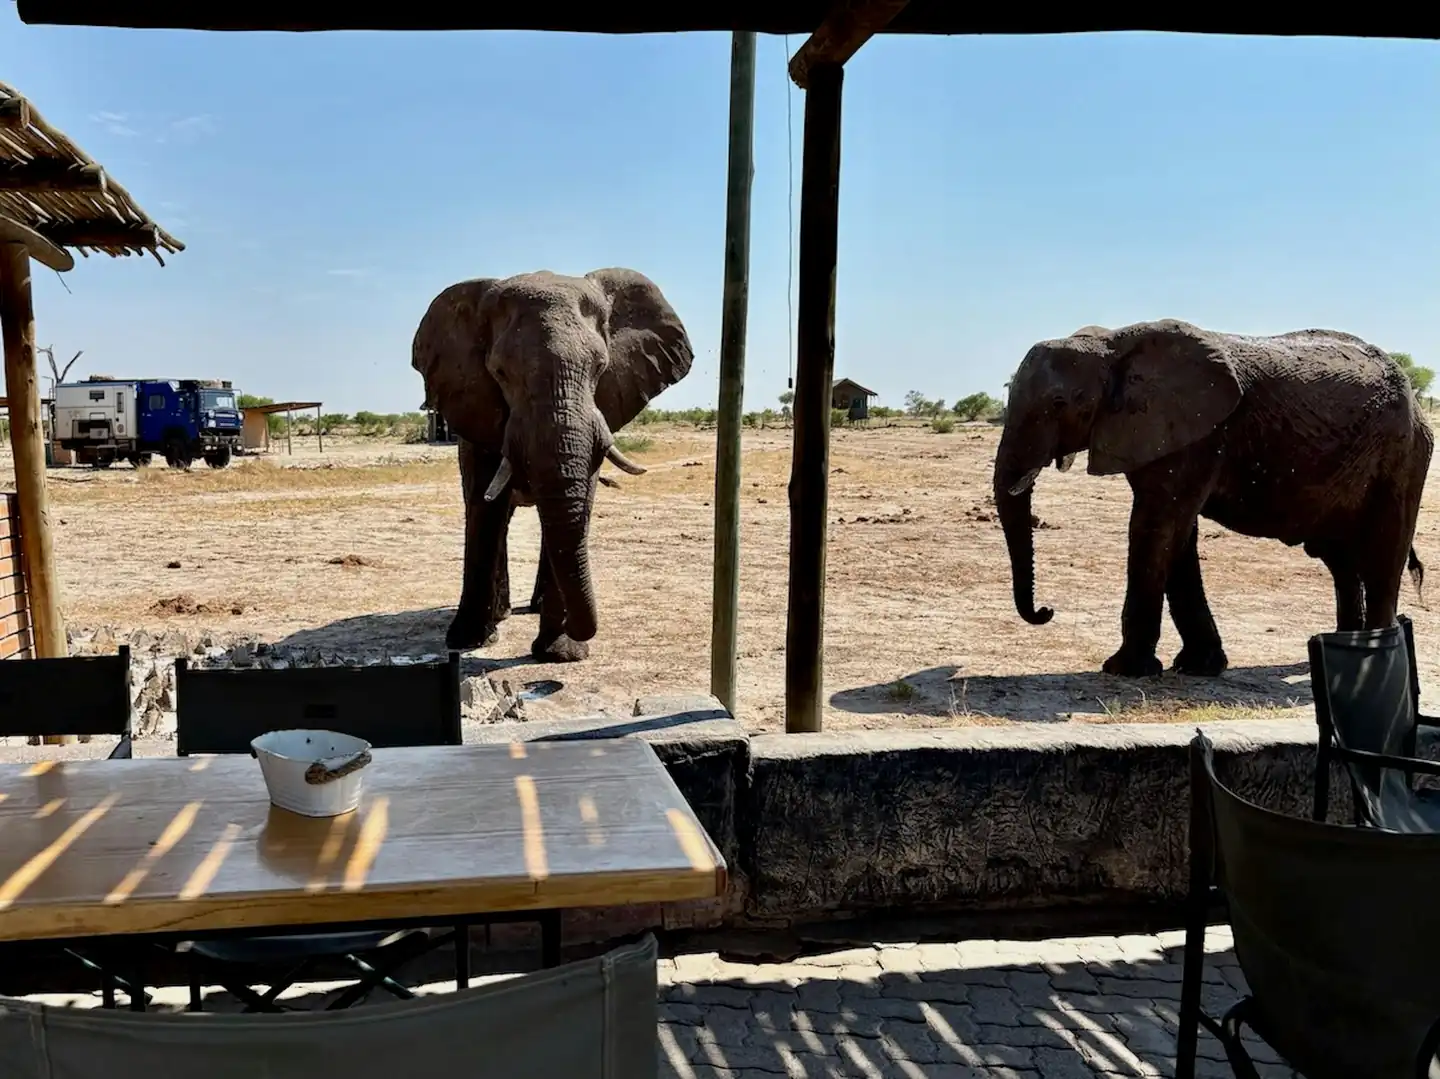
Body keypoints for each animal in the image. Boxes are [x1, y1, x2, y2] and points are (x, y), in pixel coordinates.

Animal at [412, 268, 694, 661]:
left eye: (600, 367)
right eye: (500, 373)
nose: (581, 633)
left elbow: (580, 505)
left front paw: (561, 653)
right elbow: (484, 509)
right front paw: (466, 642)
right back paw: (500, 616)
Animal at [993, 319, 1433, 678]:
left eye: (1059, 404)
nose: (1046, 612)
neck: (1113, 344)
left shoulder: (1199, 436)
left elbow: (1156, 527)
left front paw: (1124, 669)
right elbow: (1177, 536)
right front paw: (1198, 667)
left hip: (1404, 454)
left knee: (1382, 556)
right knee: (1342, 560)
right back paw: (1344, 652)